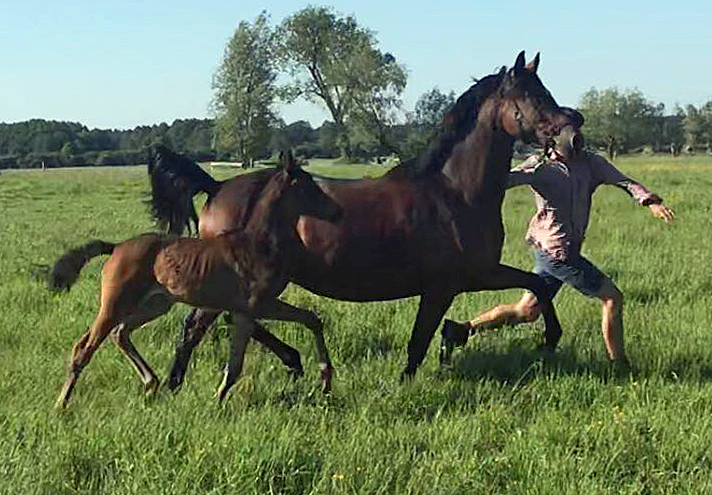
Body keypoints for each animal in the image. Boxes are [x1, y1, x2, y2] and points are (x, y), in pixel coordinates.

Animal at [52, 156, 342, 410]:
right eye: (306, 185)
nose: (336, 211)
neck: (256, 242)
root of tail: (116, 247)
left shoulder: (248, 310)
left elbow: (307, 321)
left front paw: (325, 379)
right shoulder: (257, 305)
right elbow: (239, 362)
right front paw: (217, 401)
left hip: (155, 304)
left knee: (120, 333)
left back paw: (151, 384)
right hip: (116, 302)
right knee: (85, 347)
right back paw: (61, 405)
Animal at [149, 51, 580, 392]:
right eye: (532, 96)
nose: (571, 136)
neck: (455, 192)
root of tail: (217, 186)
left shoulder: (478, 273)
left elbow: (536, 285)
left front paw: (549, 338)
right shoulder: (443, 286)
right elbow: (418, 341)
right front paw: (404, 384)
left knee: (234, 317)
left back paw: (290, 361)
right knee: (200, 324)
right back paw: (175, 384)